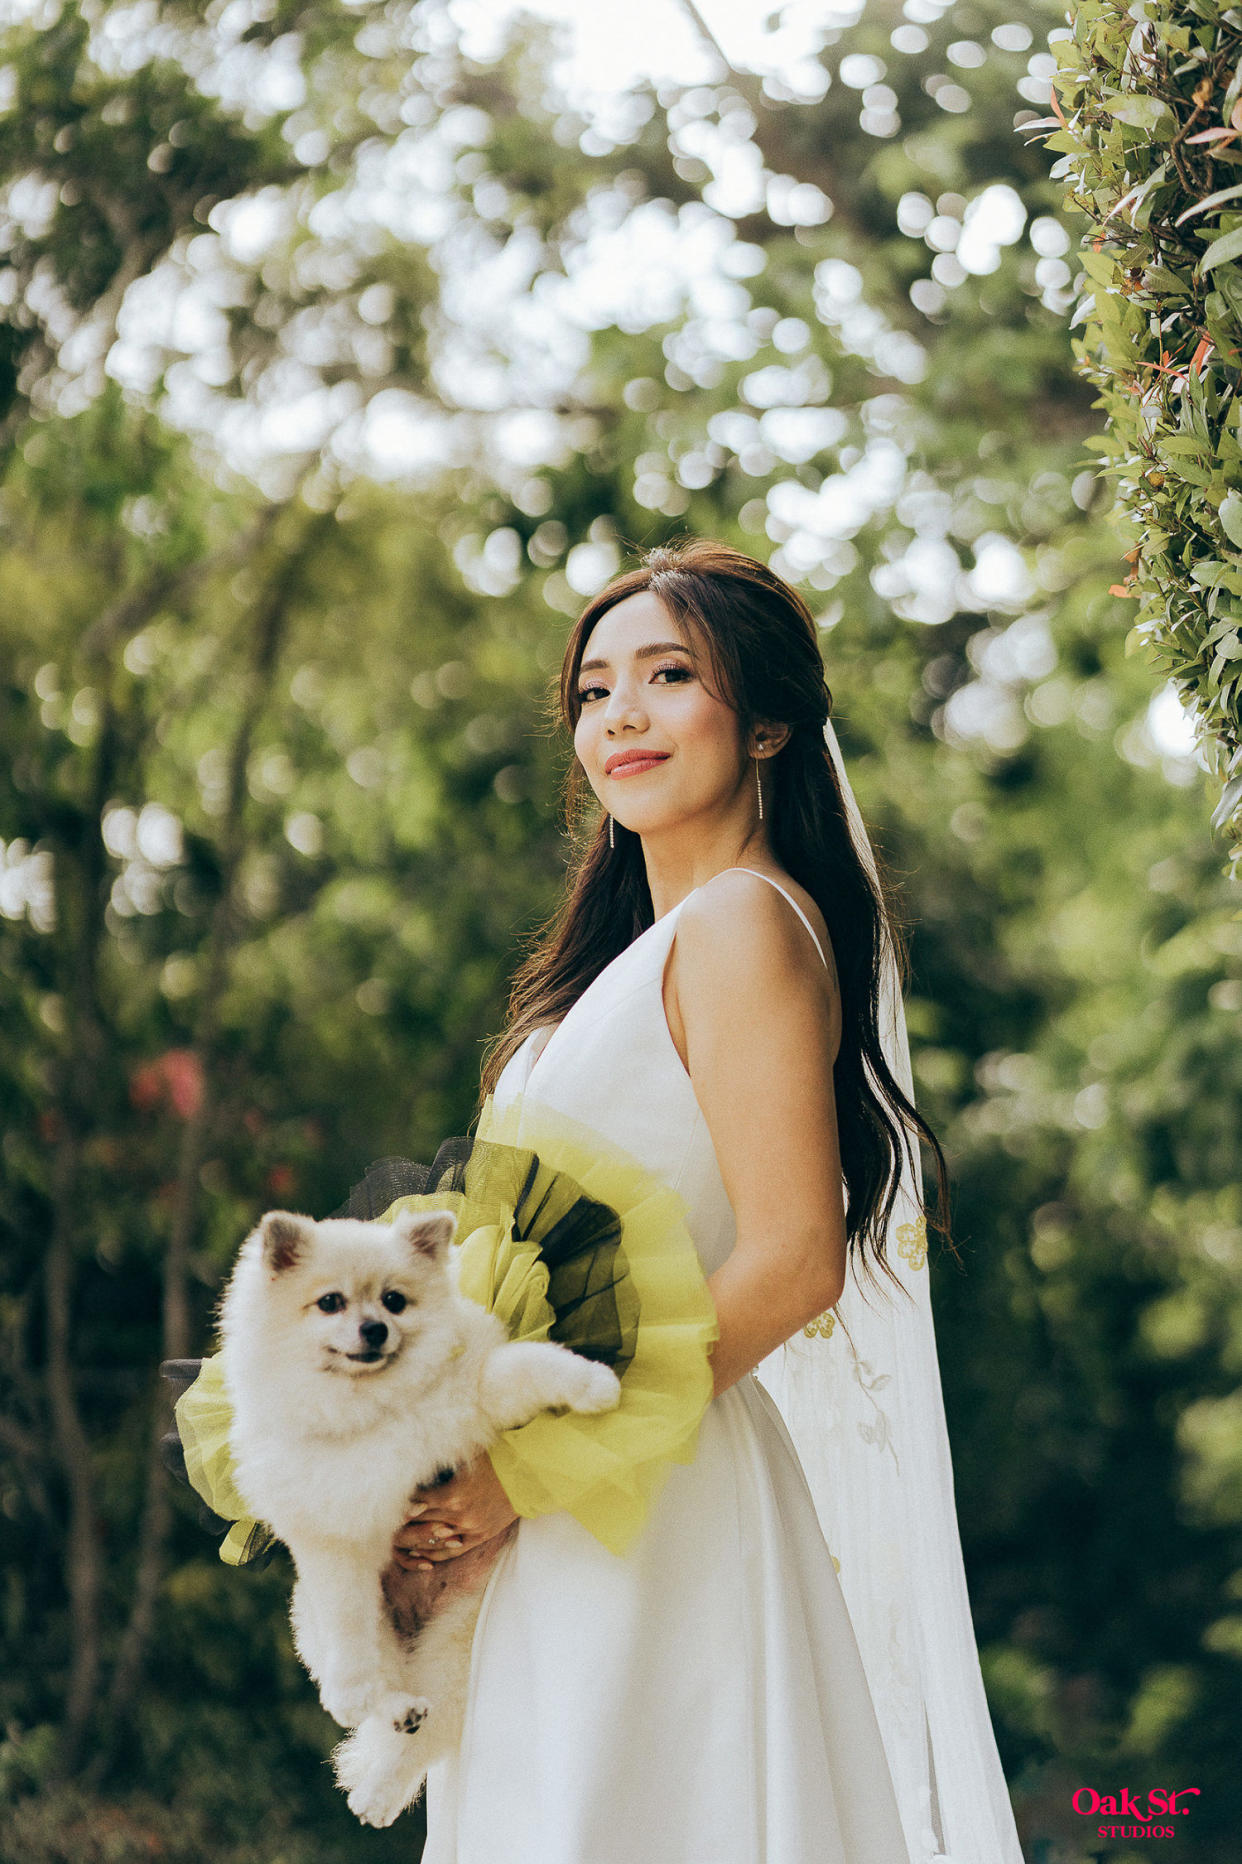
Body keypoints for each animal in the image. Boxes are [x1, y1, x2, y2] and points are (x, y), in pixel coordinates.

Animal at [220, 1200, 619, 1826]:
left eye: (394, 1301)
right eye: (330, 1302)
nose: (375, 1329)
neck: (378, 1405)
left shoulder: (479, 1394)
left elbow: (533, 1365)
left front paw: (596, 1384)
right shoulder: (337, 1532)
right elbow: (349, 1625)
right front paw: (356, 1692)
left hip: (459, 1647)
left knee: (421, 1737)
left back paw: (379, 1791)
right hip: (327, 1622)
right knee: (374, 1682)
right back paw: (389, 1709)